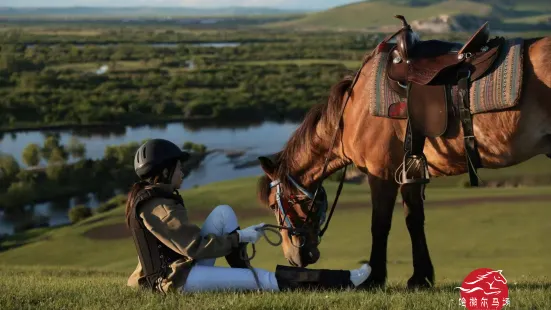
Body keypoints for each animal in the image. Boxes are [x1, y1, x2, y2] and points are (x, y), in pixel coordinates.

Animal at [254, 17, 551, 290]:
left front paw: (374, 278)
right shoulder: (412, 170)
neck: (352, 111)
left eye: (273, 205)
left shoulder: (380, 172)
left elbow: (380, 224)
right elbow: (414, 220)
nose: (295, 257)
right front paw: (421, 277)